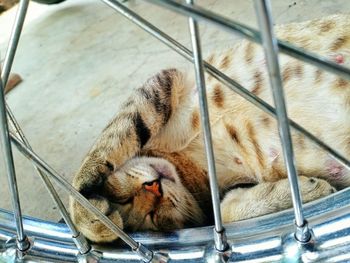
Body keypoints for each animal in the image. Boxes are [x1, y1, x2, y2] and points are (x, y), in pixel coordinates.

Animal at [69, 14, 350, 243]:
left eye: (119, 196)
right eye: (152, 218)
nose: (153, 188)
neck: (185, 162)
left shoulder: (164, 83)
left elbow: (113, 137)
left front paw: (89, 212)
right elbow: (225, 210)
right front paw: (300, 191)